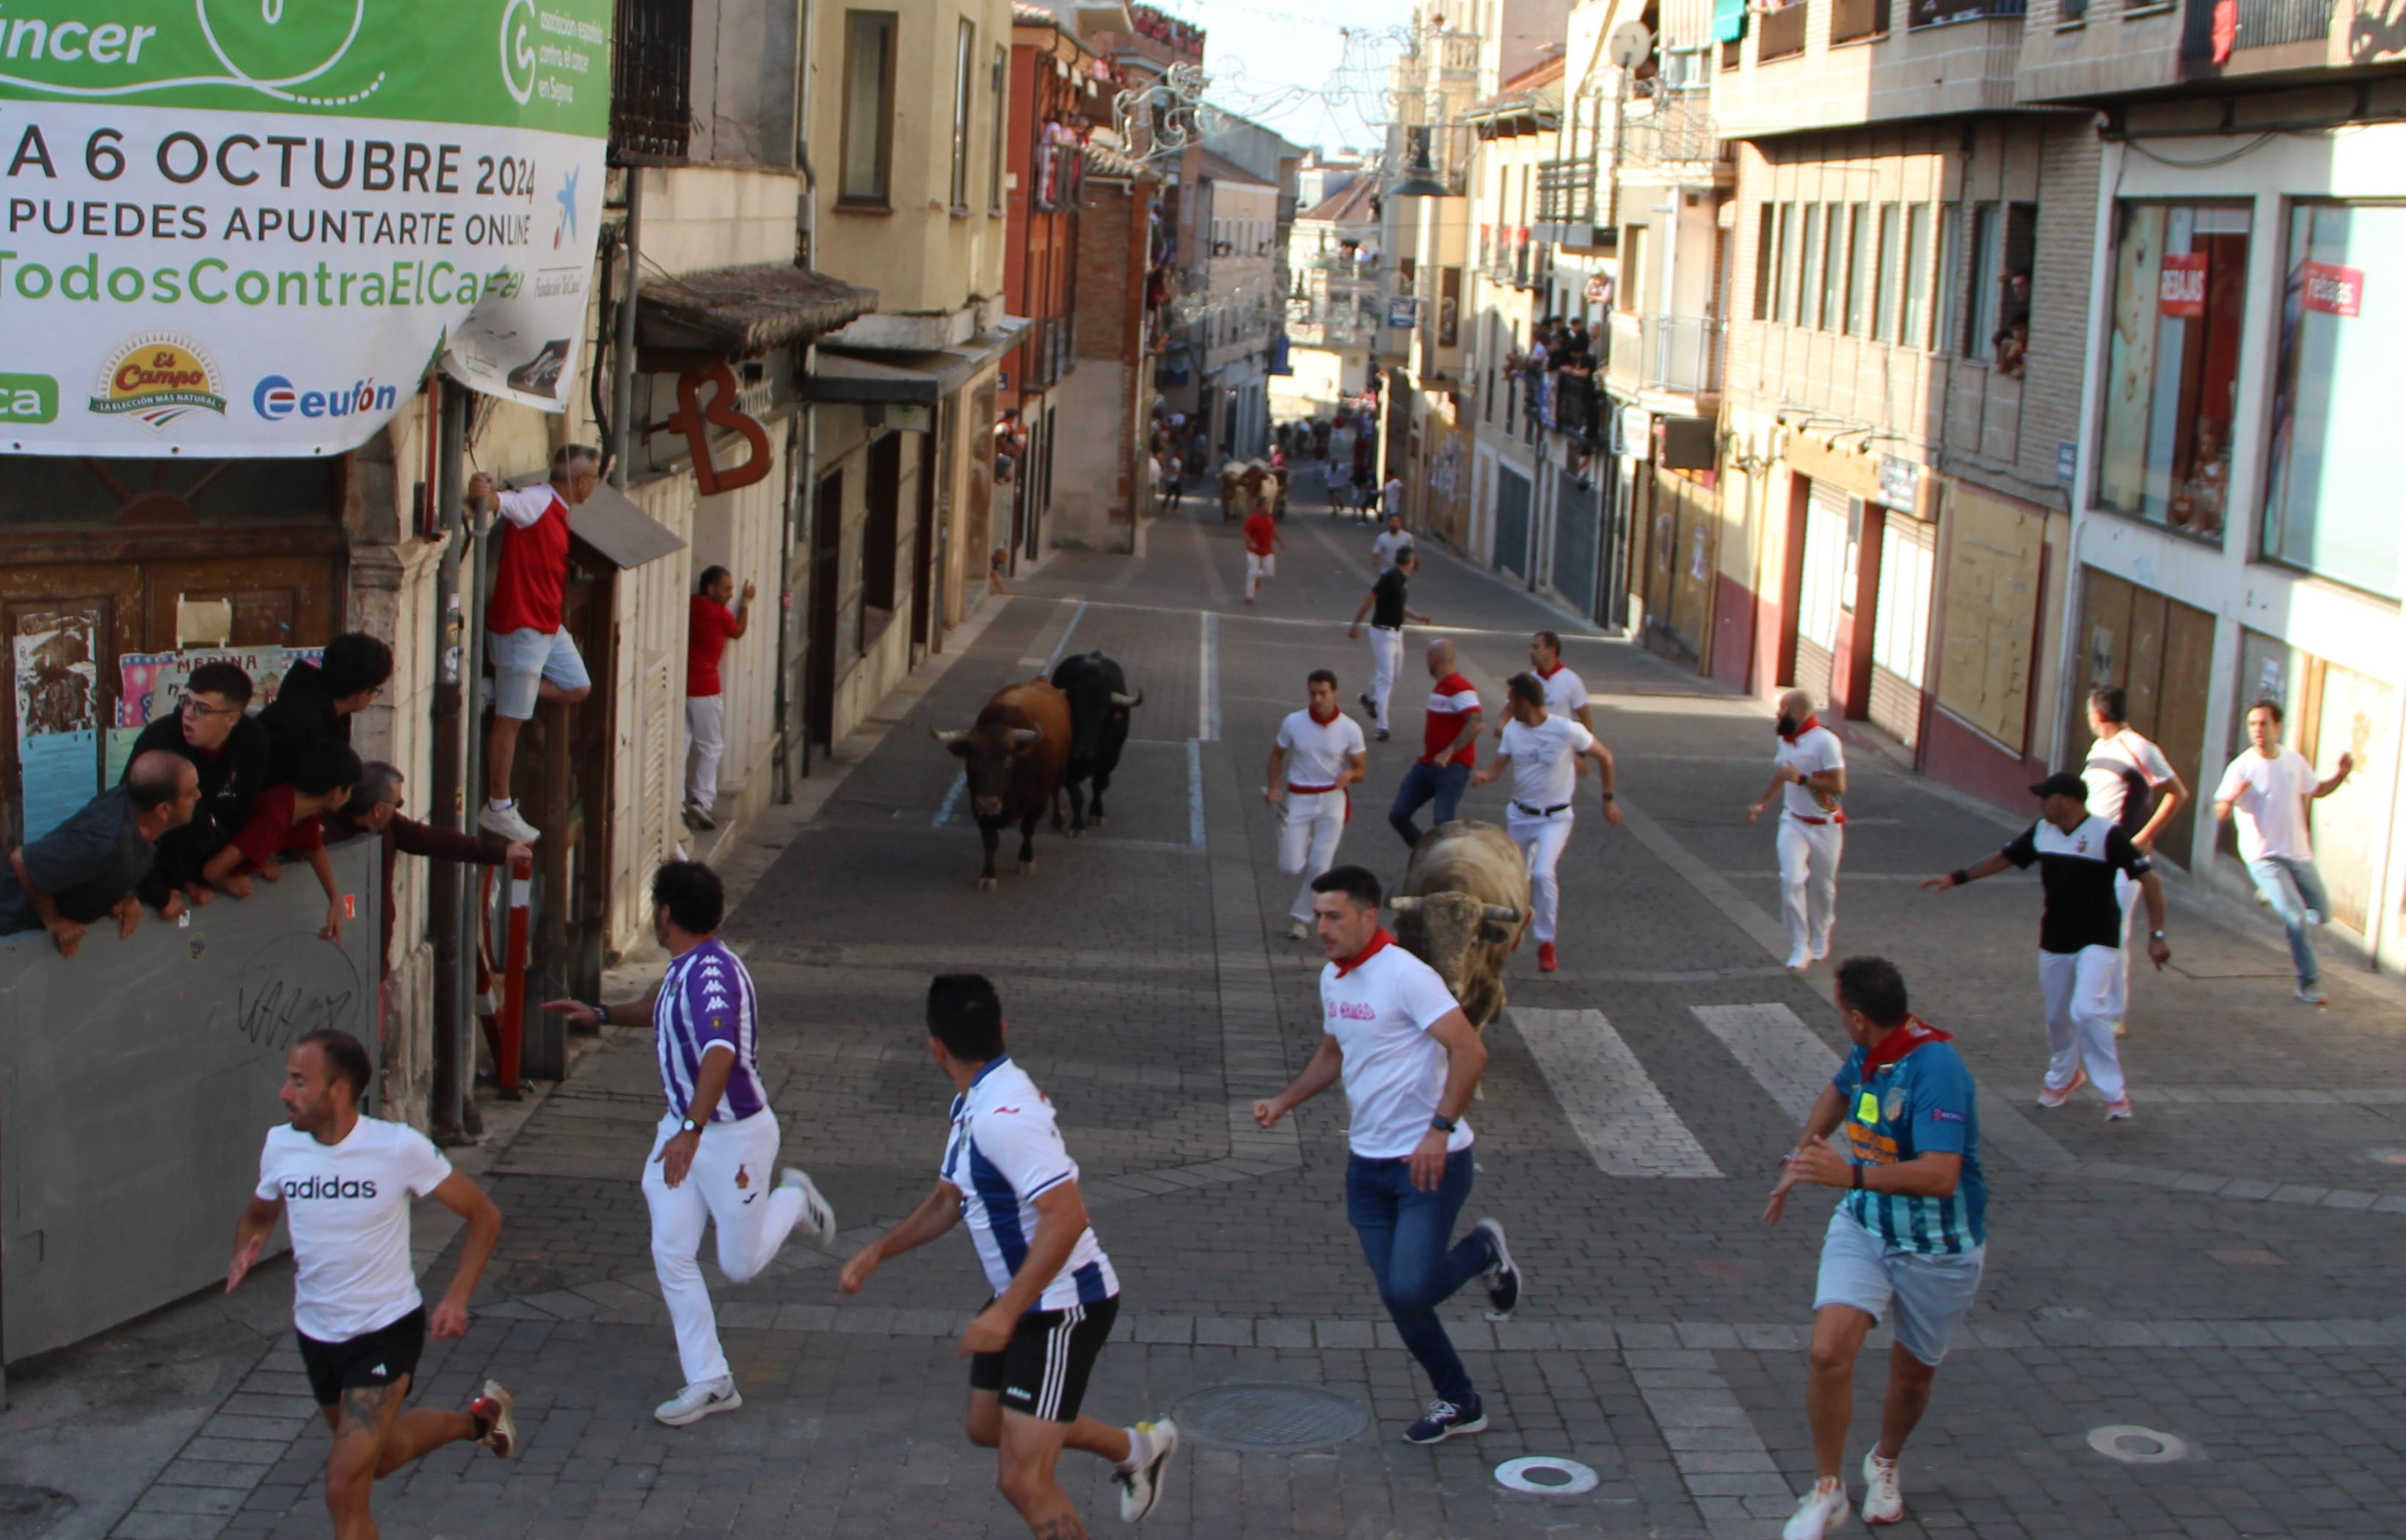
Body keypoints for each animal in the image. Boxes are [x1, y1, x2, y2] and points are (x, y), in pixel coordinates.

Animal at [928, 678, 1073, 885]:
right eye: (972, 761)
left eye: (1008, 760)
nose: (988, 803)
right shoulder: (978, 807)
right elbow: (990, 841)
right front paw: (988, 875)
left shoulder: (1038, 802)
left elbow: (1028, 829)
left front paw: (1026, 860)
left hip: (1059, 773)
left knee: (1056, 793)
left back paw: (1058, 819)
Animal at [1049, 654, 1140, 842]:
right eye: (1072, 712)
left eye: (1102, 714)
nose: (1083, 752)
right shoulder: (1066, 766)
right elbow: (1076, 795)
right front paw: (1077, 826)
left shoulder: (1110, 762)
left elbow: (1099, 785)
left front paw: (1096, 814)